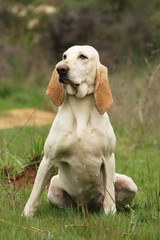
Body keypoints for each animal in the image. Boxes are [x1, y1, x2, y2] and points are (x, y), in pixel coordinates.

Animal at [23, 45, 138, 218]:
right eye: (64, 56)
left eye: (83, 57)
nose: (60, 69)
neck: (80, 105)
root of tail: (89, 207)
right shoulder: (48, 158)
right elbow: (35, 191)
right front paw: (27, 215)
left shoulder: (108, 157)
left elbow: (110, 194)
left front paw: (110, 215)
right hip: (54, 186)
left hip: (129, 183)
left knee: (116, 199)